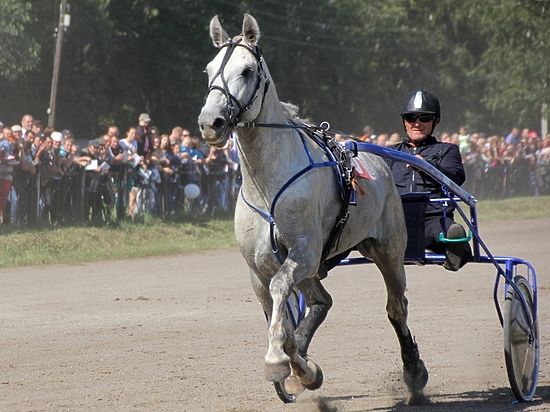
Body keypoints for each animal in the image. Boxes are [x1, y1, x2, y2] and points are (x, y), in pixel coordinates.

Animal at [199, 13, 432, 402]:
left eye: (246, 70)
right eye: (210, 69)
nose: (210, 122)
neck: (268, 184)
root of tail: (378, 159)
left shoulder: (304, 253)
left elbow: (281, 292)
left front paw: (278, 360)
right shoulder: (259, 266)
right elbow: (278, 314)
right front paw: (300, 369)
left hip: (388, 249)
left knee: (397, 307)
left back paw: (414, 371)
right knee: (322, 301)